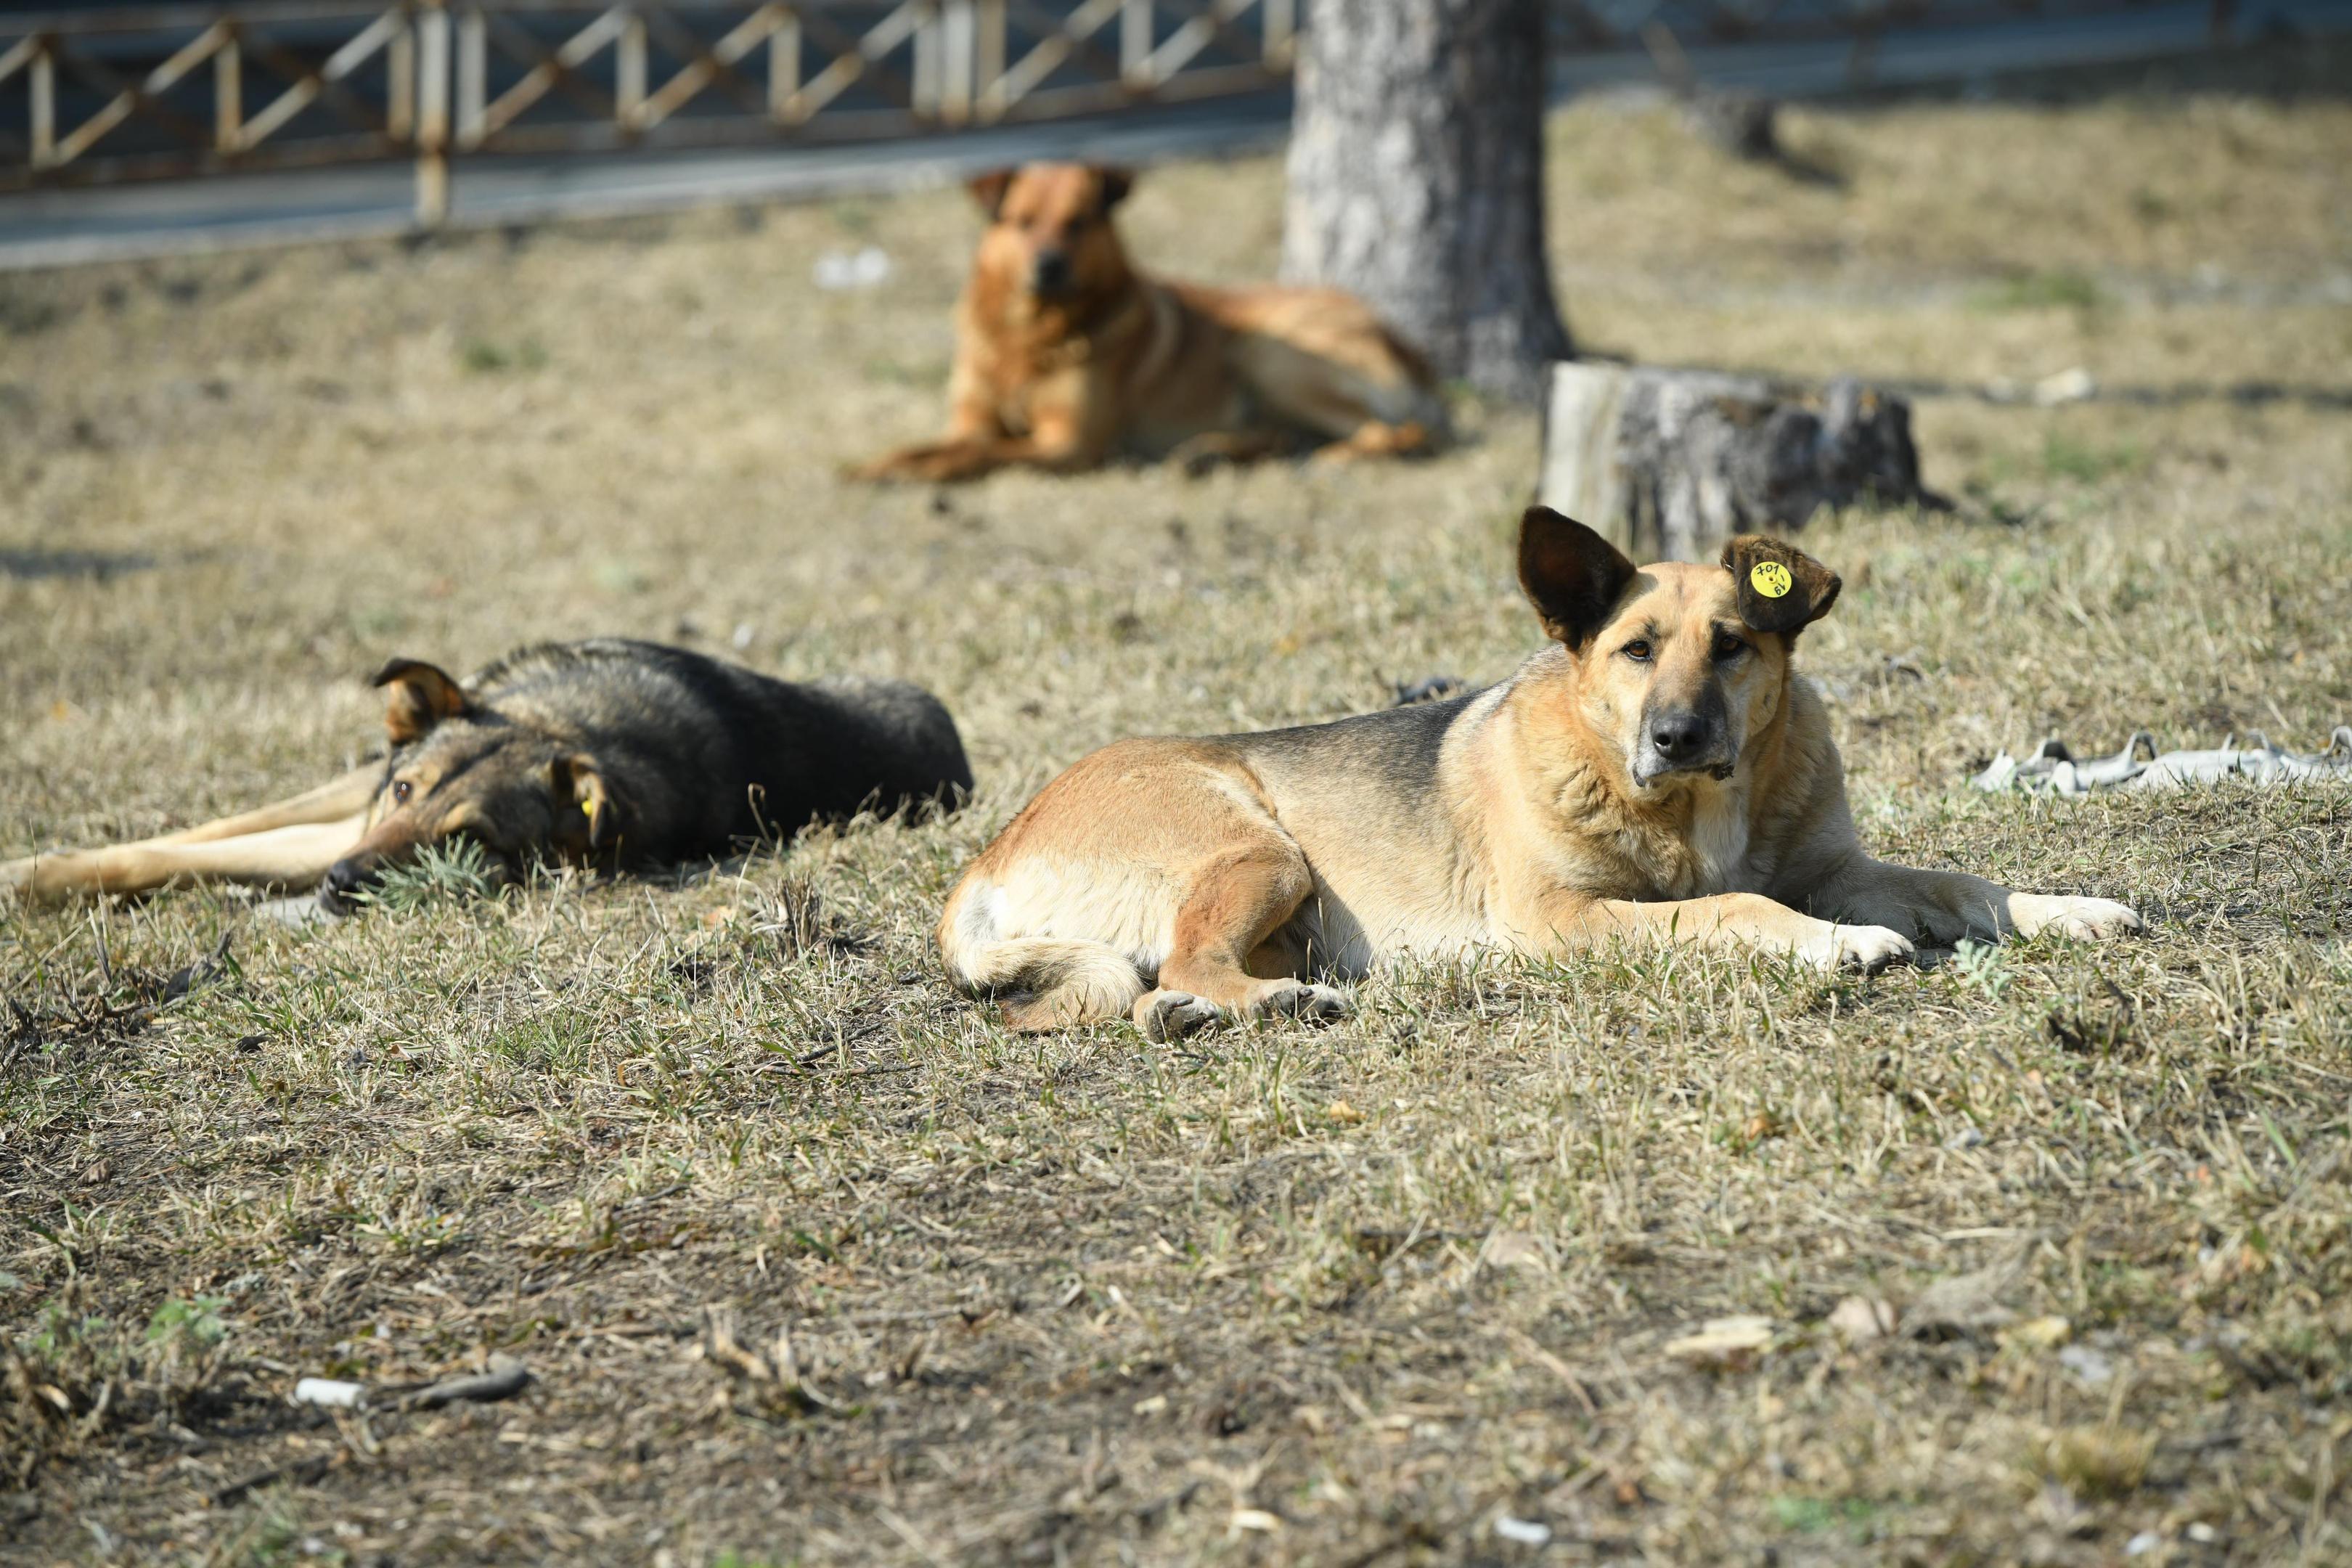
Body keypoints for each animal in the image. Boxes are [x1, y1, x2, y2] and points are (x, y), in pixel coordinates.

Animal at [2, 634, 973, 907]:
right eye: (405, 792)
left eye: (467, 842)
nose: (340, 885)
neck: (572, 726)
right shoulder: (354, 798)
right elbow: (187, 837)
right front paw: (35, 869)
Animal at [856, 160, 1439, 481]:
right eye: (1021, 222)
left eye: (1079, 222)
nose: (1048, 266)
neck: (1029, 338)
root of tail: (1404, 341)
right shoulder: (970, 422)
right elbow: (932, 445)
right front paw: (876, 467)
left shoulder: (1069, 443)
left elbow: (981, 457)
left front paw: (922, 474)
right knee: (1279, 434)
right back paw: (1208, 456)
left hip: (1269, 352)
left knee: (1398, 431)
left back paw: (1335, 457)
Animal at [941, 510, 2154, 1034]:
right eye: (1635, 651)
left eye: (1734, 645)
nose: (1678, 737)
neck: (1696, 804)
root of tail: (988, 861)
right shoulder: (1568, 916)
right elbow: (1733, 909)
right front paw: (1835, 946)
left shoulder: (1840, 867)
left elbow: (1963, 882)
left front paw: (2069, 909)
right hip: (1259, 851)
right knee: (1186, 965)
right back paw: (1278, 1002)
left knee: (1169, 985)